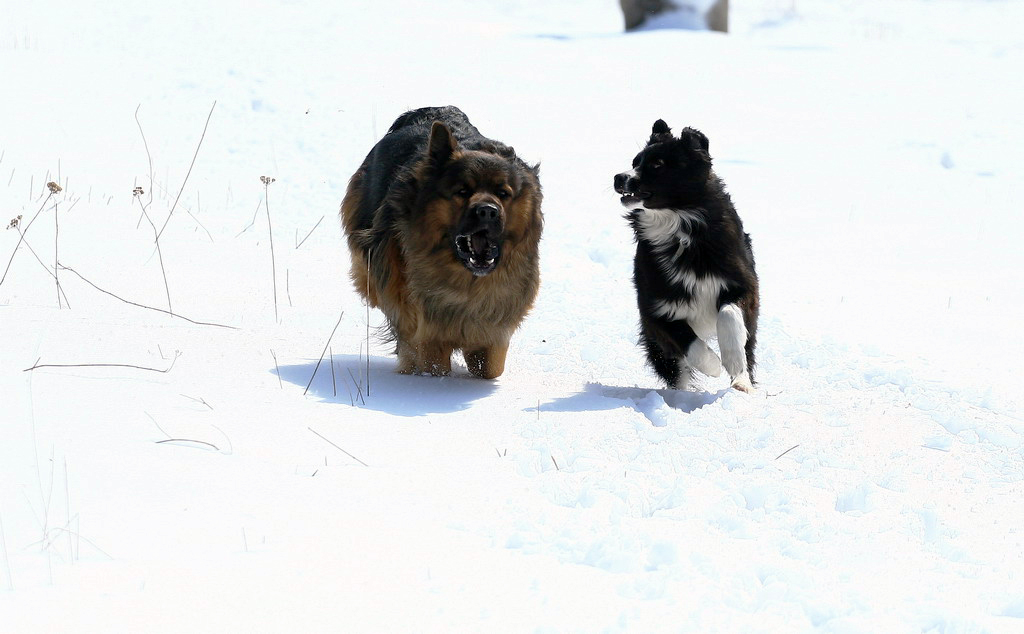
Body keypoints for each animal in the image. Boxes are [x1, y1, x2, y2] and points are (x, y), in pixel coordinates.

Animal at [339, 106, 544, 378]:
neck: (467, 281)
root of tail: (426, 111)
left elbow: (491, 368)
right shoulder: (425, 328)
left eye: (503, 193)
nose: (487, 211)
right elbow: (432, 362)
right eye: (462, 191)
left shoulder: (494, 325)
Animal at [610, 118, 757, 391]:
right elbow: (687, 341)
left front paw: (733, 365)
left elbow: (729, 316)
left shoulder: (743, 284)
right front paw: (712, 364)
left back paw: (743, 383)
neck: (681, 225)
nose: (619, 177)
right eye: (635, 162)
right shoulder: (655, 308)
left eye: (657, 165)